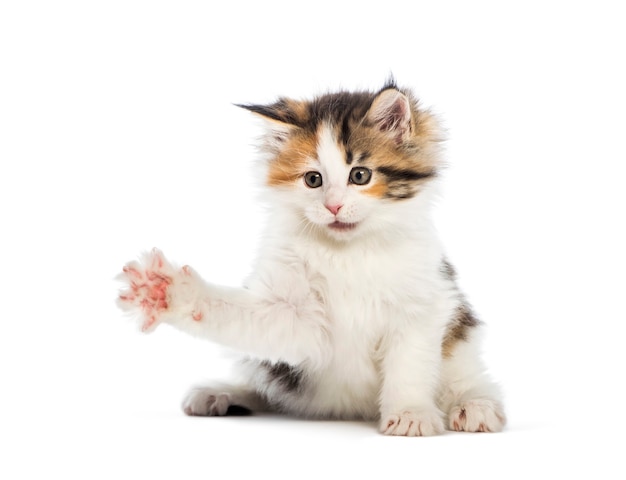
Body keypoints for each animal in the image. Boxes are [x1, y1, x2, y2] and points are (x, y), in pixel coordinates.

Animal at [118, 79, 508, 436]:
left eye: (360, 175)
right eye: (313, 179)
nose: (333, 207)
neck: (348, 251)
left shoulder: (423, 307)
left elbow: (409, 365)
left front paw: (410, 414)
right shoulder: (295, 317)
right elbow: (239, 315)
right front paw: (169, 292)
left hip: (461, 341)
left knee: (468, 379)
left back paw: (475, 406)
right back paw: (223, 393)